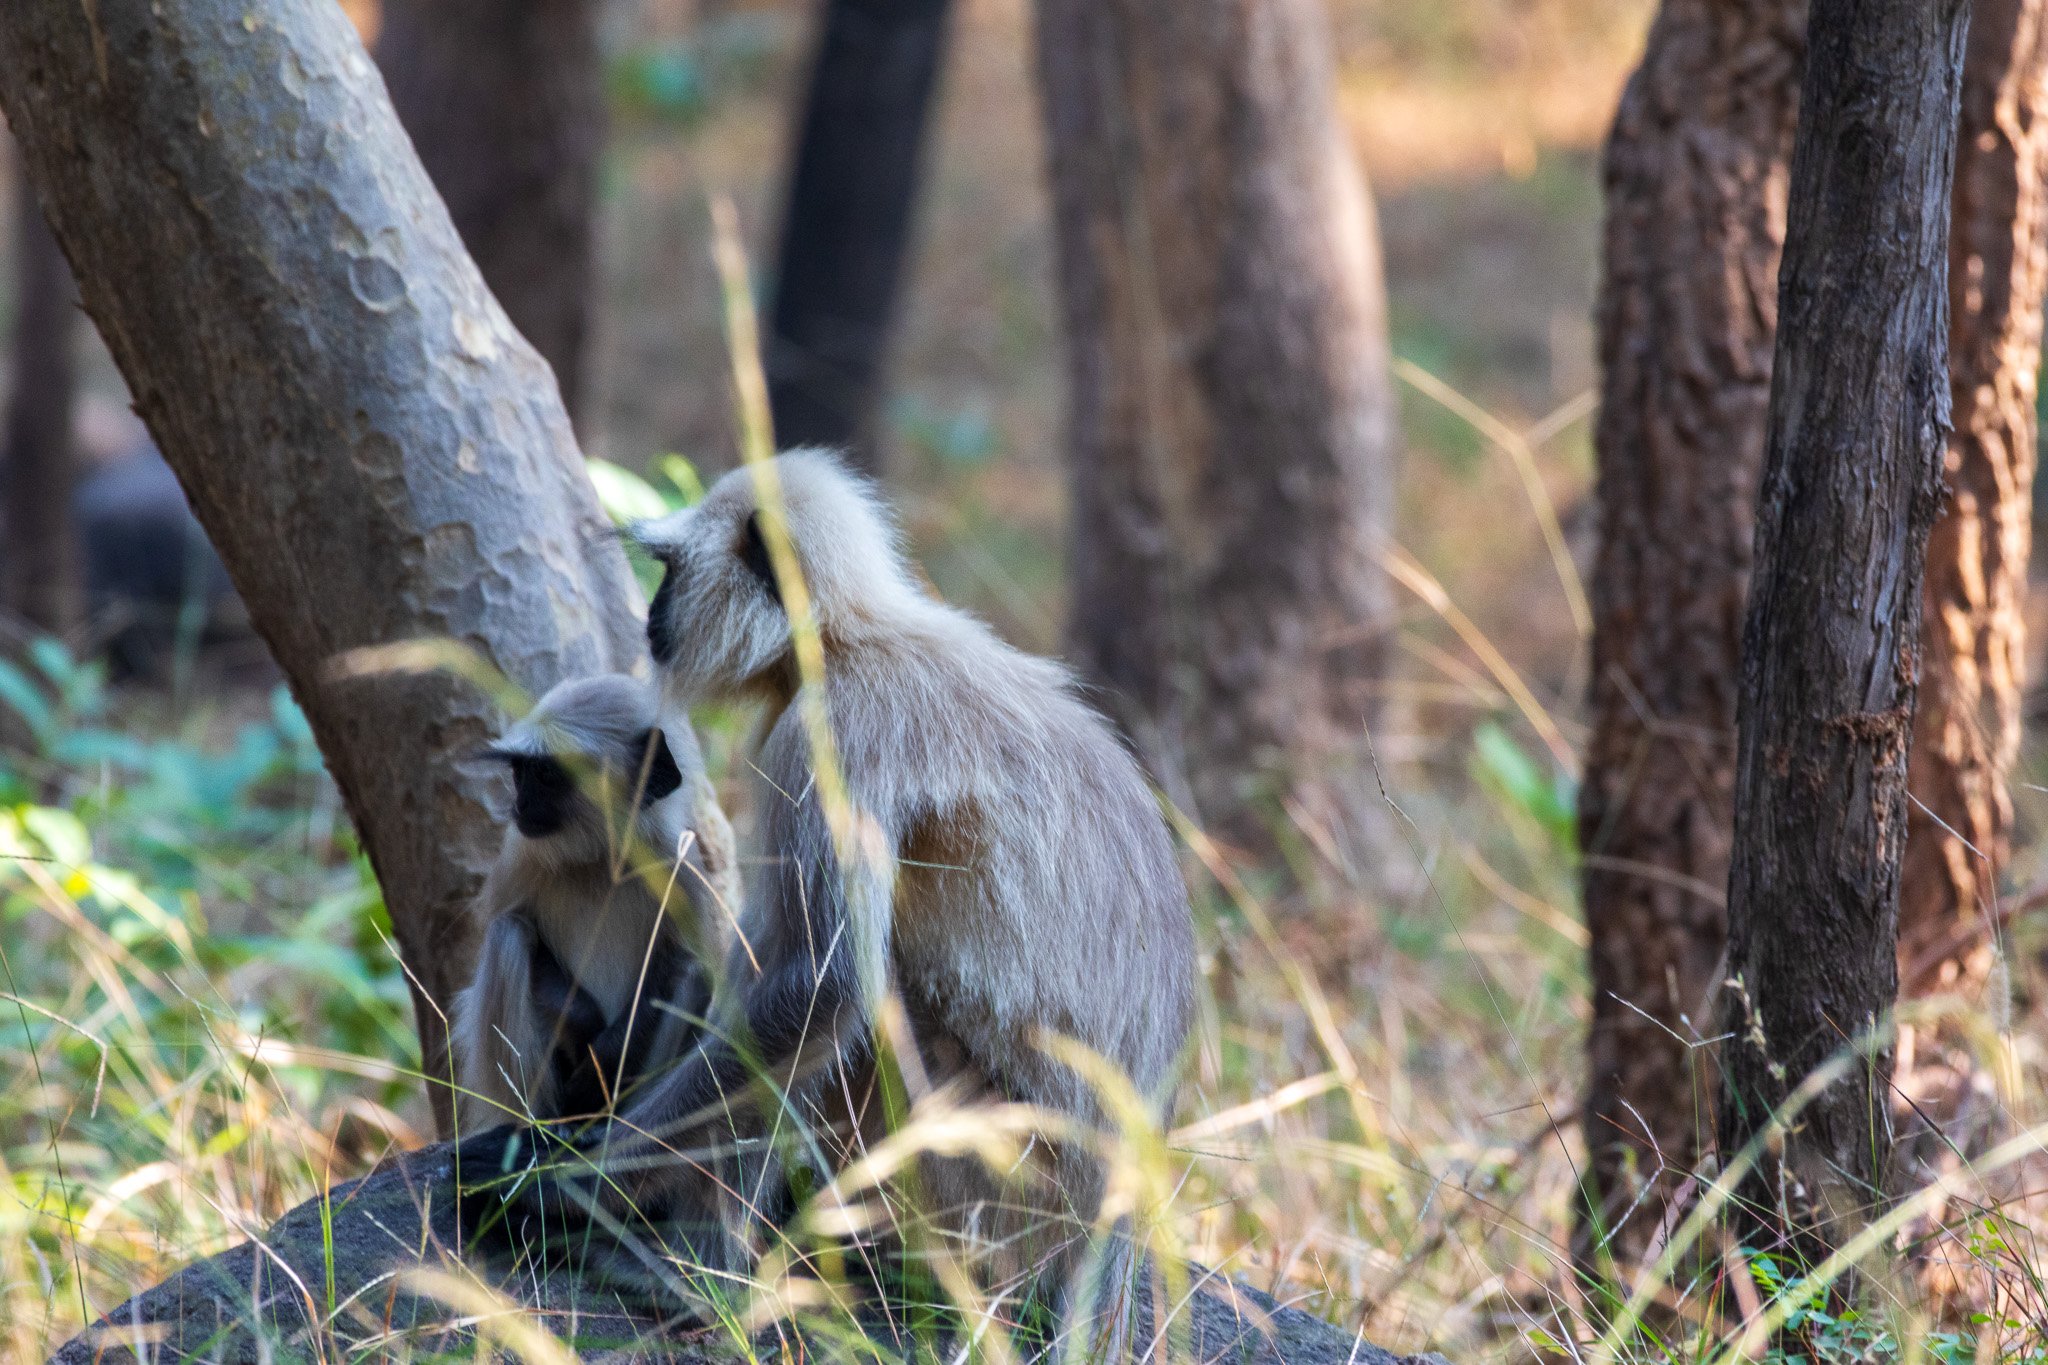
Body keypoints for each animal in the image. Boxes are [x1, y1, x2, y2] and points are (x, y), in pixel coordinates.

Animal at [452, 671, 741, 1129]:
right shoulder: (521, 856)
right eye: (520, 772)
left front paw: (601, 1067)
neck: (601, 860)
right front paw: (585, 1032)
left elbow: (682, 963)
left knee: (690, 971)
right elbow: (514, 924)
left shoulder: (677, 867)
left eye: (547, 775)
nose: (520, 804)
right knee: (508, 933)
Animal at [509, 454, 1196, 1350]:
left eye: (670, 570)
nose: (652, 616)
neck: (845, 642)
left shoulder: (830, 736)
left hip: (991, 1177)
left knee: (855, 1011)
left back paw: (706, 1280)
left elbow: (820, 989)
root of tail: (1105, 1225)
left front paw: (580, 1181)